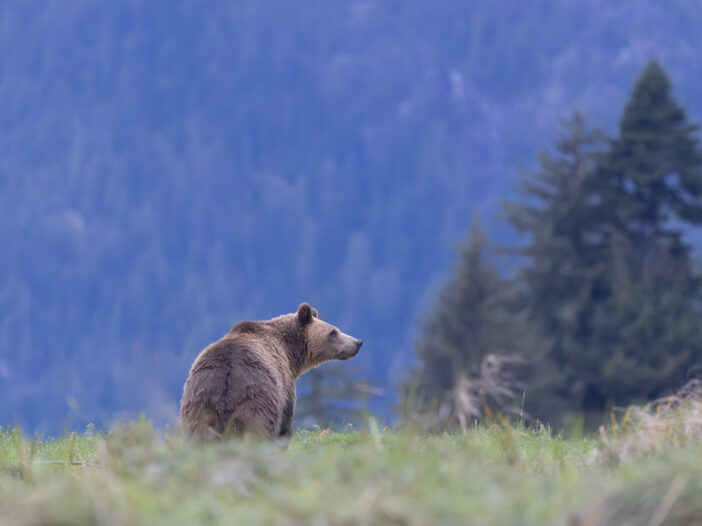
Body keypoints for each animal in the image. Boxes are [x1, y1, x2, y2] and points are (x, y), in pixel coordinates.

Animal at [180, 303, 363, 439]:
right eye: (333, 331)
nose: (357, 342)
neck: (291, 352)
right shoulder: (285, 384)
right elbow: (285, 422)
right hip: (257, 400)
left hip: (199, 405)